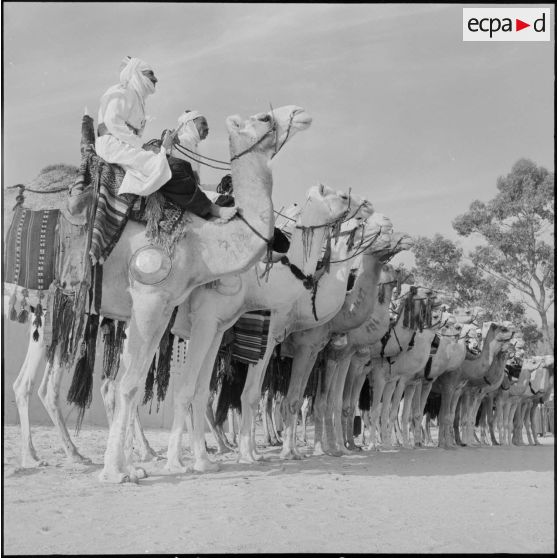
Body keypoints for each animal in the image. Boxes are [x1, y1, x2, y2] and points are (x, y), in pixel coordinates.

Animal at [166, 187, 372, 472]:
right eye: (342, 196)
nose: (368, 207)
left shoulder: (231, 328)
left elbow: (217, 392)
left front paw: (243, 455)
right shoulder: (212, 320)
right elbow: (248, 394)